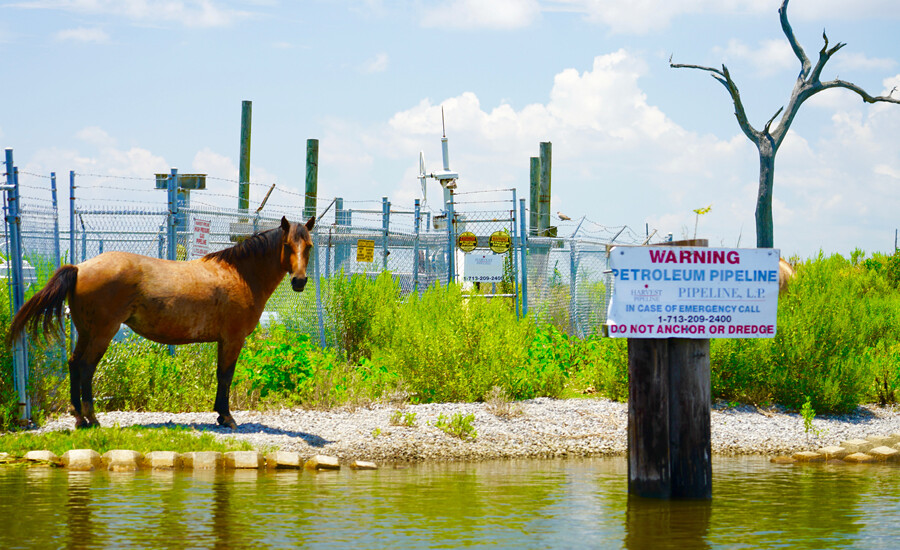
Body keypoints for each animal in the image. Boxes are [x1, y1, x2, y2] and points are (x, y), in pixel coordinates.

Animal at [7, 216, 314, 432]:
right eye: (287, 245)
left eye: (309, 246)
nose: (299, 281)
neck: (240, 274)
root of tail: (80, 267)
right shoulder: (232, 339)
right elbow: (225, 376)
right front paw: (226, 417)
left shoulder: (224, 340)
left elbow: (220, 375)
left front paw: (220, 414)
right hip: (102, 333)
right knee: (85, 367)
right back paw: (91, 418)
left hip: (86, 332)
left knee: (74, 363)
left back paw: (79, 417)